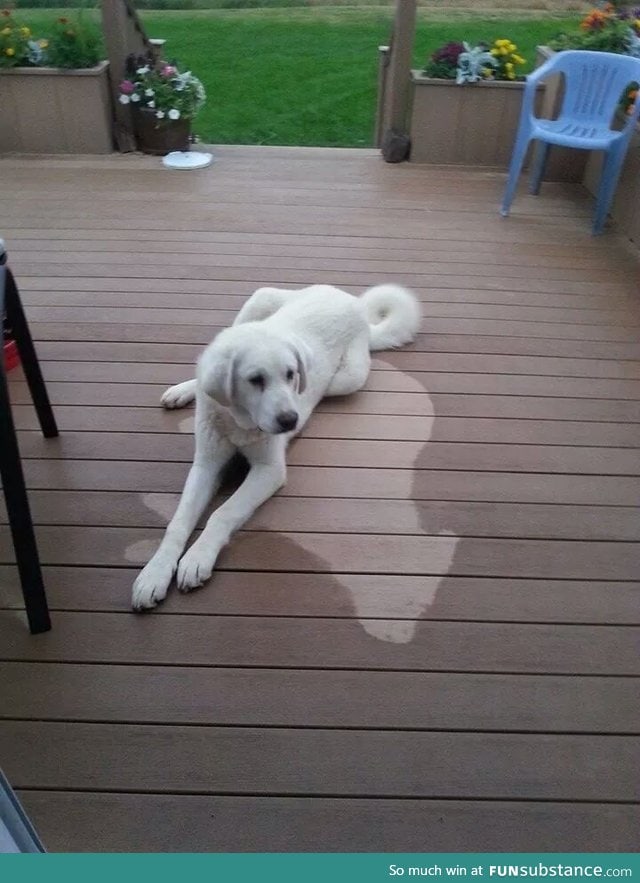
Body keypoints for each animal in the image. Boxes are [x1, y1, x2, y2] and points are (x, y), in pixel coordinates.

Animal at [131, 286, 420, 612]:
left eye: (291, 374)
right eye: (255, 380)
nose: (290, 420)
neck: (237, 420)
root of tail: (352, 300)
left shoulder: (268, 470)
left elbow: (223, 512)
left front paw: (197, 557)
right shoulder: (205, 464)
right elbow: (178, 523)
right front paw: (154, 573)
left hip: (348, 377)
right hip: (260, 300)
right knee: (206, 368)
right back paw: (183, 390)